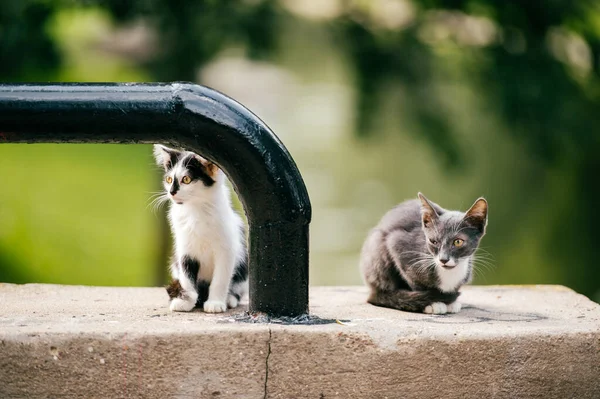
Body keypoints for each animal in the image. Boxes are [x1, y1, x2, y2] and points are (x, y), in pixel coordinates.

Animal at [155, 145, 251, 314]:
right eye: (169, 179)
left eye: (186, 179)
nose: (171, 192)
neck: (195, 209)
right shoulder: (185, 249)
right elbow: (187, 279)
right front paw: (185, 301)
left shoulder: (227, 249)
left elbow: (220, 279)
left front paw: (215, 303)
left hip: (243, 266)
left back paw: (230, 299)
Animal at [358, 194, 486, 316]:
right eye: (433, 241)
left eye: (458, 242)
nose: (443, 259)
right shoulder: (397, 245)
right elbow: (415, 283)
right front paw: (434, 304)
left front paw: (450, 303)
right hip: (376, 246)